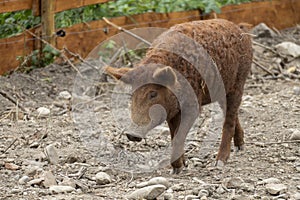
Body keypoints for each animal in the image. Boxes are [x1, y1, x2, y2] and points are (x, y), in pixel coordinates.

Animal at [105, 18, 253, 173]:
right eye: (132, 94)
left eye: (153, 94)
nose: (132, 134)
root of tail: (239, 28)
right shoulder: (171, 110)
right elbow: (173, 135)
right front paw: (180, 167)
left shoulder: (193, 106)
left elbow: (178, 135)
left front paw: (177, 168)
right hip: (221, 90)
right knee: (231, 113)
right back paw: (240, 146)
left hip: (239, 81)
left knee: (229, 119)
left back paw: (220, 162)